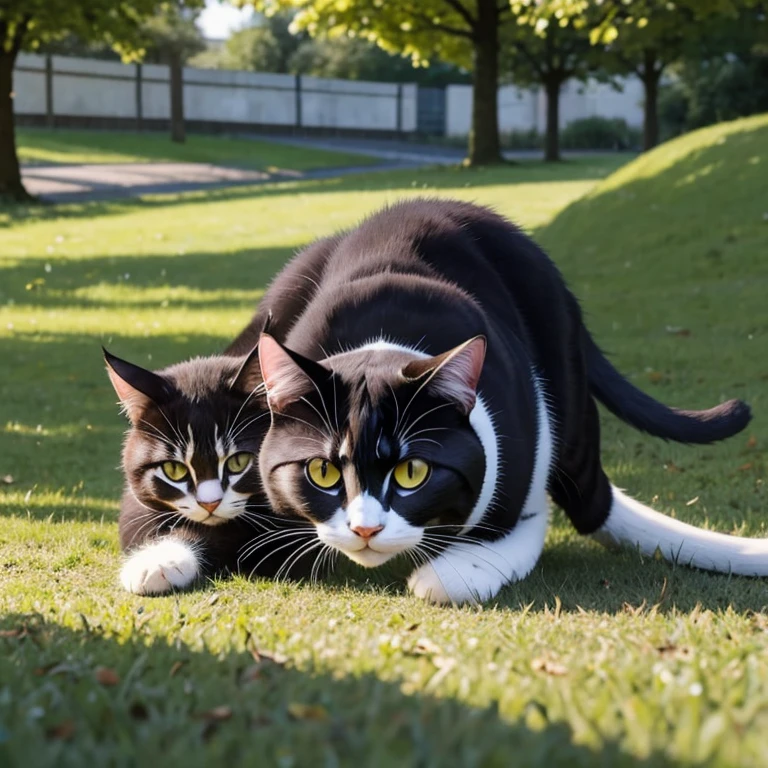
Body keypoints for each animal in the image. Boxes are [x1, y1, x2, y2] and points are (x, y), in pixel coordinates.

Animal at [252, 200, 760, 608]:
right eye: (323, 472)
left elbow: (505, 534)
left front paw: (455, 569)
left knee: (582, 499)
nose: (365, 530)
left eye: (413, 472)